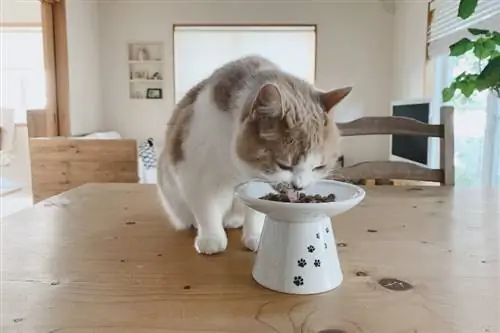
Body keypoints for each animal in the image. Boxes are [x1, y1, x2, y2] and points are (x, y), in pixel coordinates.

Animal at [156, 56, 352, 254]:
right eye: (284, 165)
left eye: (319, 167)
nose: (299, 186)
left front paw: (256, 237)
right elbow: (207, 209)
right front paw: (211, 239)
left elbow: (256, 212)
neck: (238, 167)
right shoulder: (195, 174)